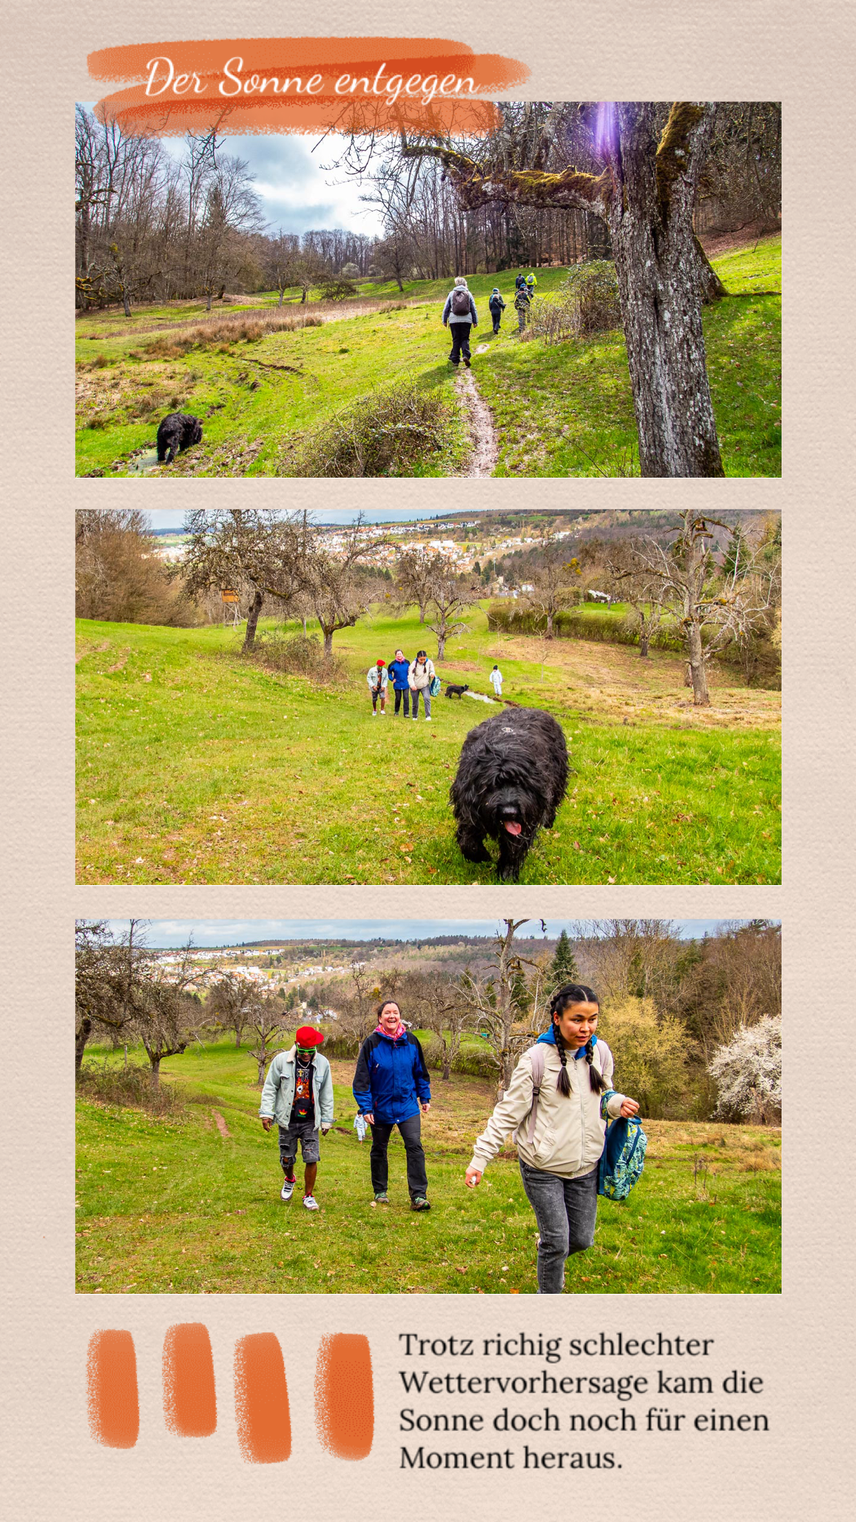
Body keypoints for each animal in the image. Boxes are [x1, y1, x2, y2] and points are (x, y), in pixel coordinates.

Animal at [447, 709, 566, 888]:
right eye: (490, 786)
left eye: (520, 783)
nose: (509, 812)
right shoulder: (467, 802)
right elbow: (467, 839)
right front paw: (480, 855)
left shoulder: (529, 814)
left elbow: (514, 848)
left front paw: (507, 874)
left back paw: (548, 822)